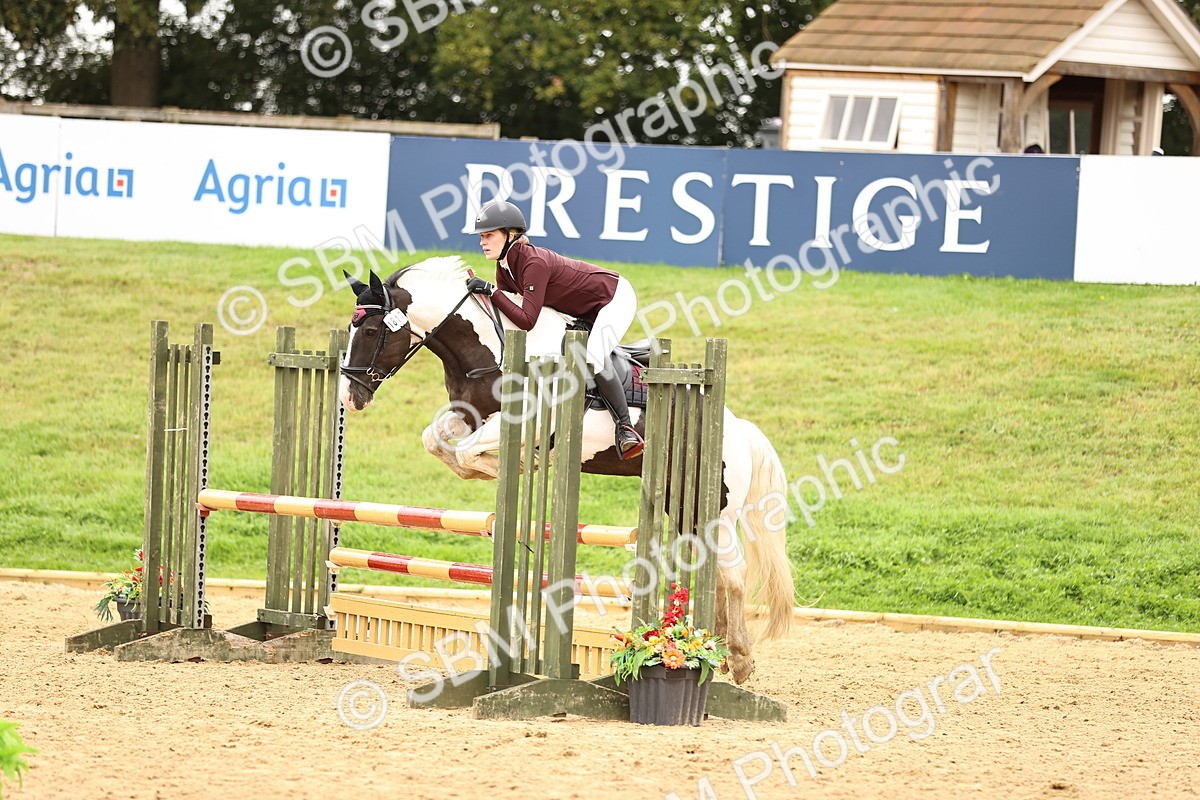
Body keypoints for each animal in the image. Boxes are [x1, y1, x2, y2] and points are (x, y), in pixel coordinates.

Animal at [337, 255, 794, 684]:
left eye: (372, 331)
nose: (348, 397)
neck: (489, 349)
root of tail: (736, 428)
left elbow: (469, 451)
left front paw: (517, 463)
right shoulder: (469, 414)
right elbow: (436, 439)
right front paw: (493, 470)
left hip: (714, 506)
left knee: (734, 573)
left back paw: (738, 658)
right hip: (683, 504)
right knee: (712, 566)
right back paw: (714, 648)